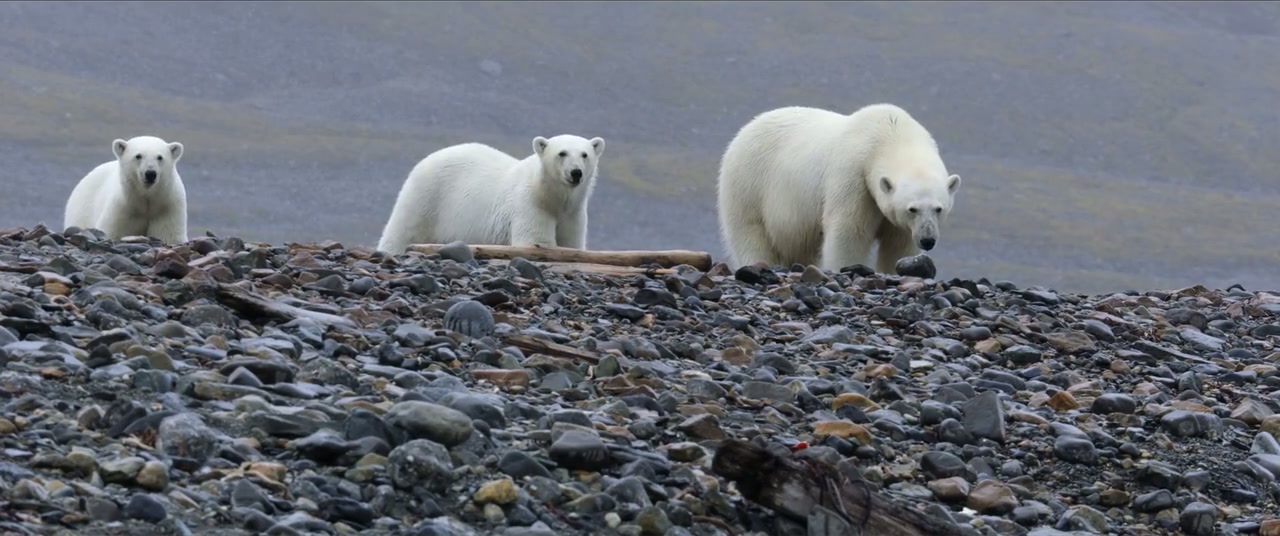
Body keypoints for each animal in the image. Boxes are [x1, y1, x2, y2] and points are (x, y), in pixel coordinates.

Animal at [376, 134, 606, 255]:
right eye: (562, 153)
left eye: (585, 154)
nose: (576, 173)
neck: (551, 196)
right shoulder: (530, 204)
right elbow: (536, 242)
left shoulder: (573, 214)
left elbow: (572, 244)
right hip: (426, 197)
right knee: (402, 231)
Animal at [716, 103, 961, 274]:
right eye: (912, 209)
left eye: (939, 209)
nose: (928, 240)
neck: (891, 135)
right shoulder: (853, 176)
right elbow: (849, 231)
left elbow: (899, 244)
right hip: (749, 185)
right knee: (750, 233)